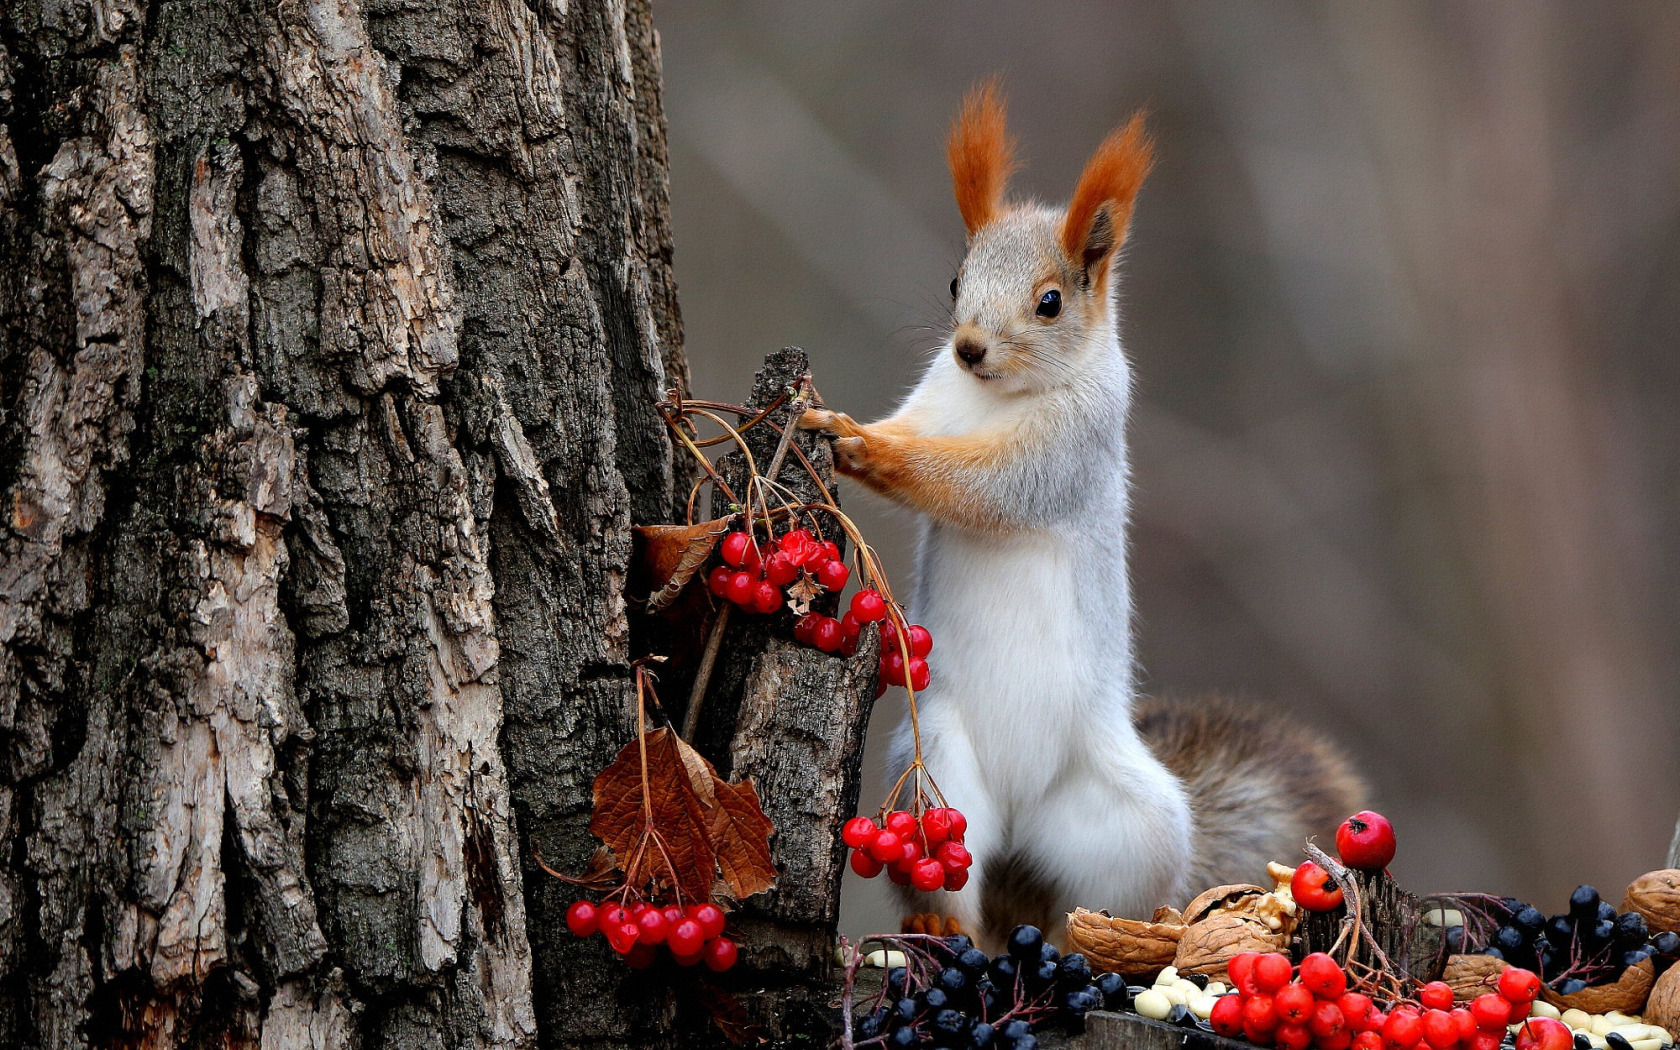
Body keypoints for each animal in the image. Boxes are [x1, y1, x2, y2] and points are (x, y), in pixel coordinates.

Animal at [799, 84, 1364, 947]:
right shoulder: (933, 401)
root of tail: (1018, 826)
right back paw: (944, 927)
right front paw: (846, 424)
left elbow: (980, 486)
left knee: (1103, 904)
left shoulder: (1069, 452)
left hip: (1131, 827)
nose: (968, 347)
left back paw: (1112, 937)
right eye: (956, 280)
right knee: (960, 895)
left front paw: (865, 448)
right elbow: (920, 434)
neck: (993, 398)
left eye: (1050, 302)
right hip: (938, 783)